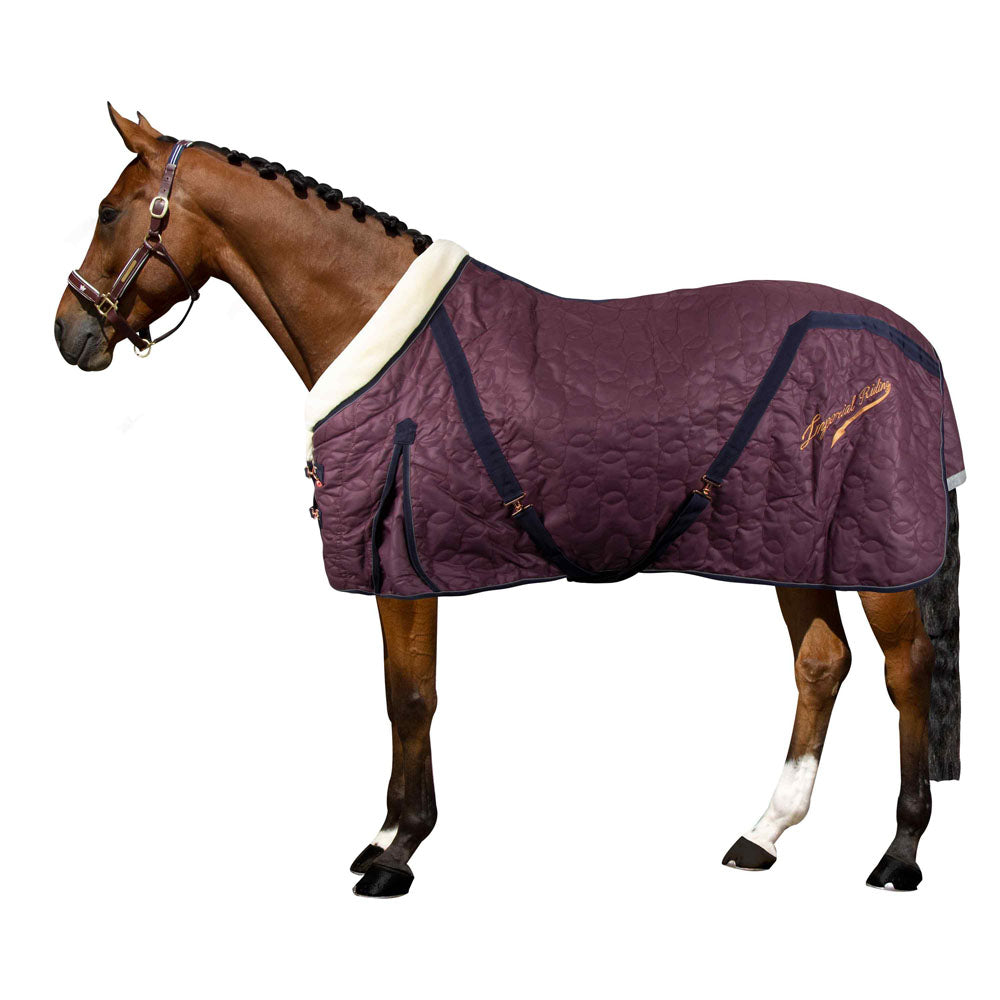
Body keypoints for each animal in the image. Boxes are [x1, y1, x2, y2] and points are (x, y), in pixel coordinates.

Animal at [54, 106, 963, 898]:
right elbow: (400, 693)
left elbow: (412, 698)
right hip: (789, 541)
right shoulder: (400, 566)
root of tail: (914, 346)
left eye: (109, 211)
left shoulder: (406, 560)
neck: (382, 331)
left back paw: (900, 852)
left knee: (907, 669)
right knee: (822, 664)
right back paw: (762, 835)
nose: (69, 332)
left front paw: (399, 854)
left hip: (874, 552)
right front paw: (383, 839)